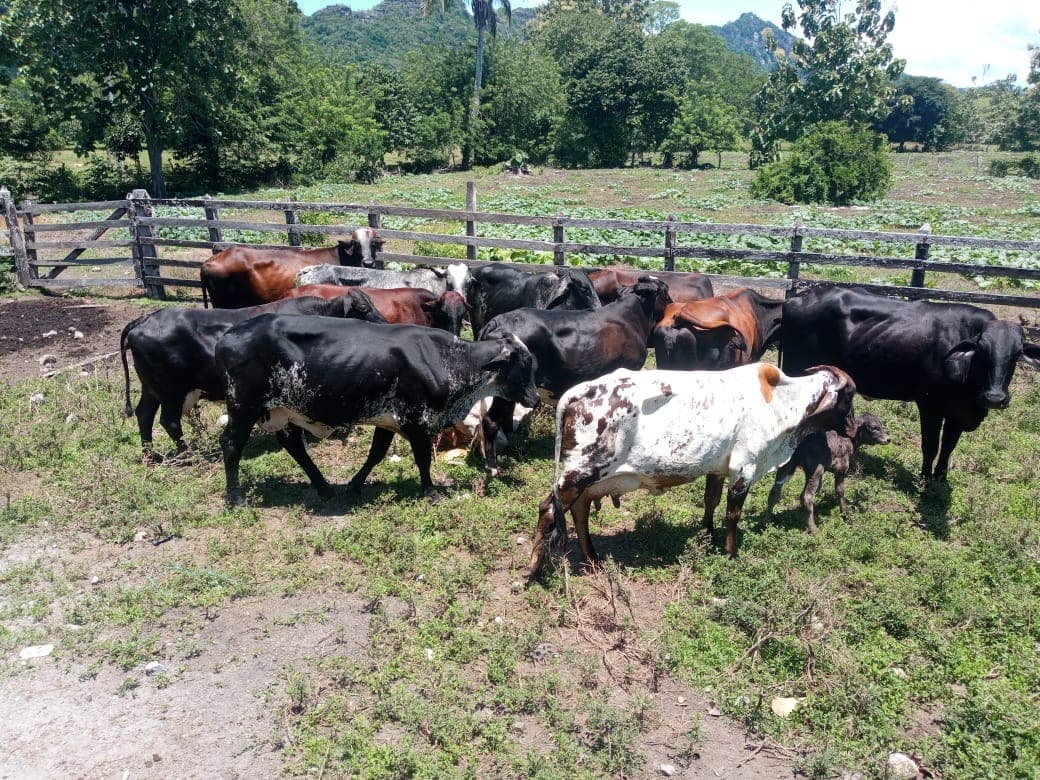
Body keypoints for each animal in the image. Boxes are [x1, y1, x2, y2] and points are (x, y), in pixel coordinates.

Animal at [120, 290, 385, 461]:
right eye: (363, 309)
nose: (385, 323)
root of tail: (144, 319)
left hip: (152, 389)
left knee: (144, 415)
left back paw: (150, 454)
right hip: (171, 391)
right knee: (169, 421)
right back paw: (189, 454)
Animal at [215, 316, 540, 506]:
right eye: (524, 364)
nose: (536, 399)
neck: (449, 360)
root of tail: (230, 334)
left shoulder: (388, 421)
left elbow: (376, 454)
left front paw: (354, 486)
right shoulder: (416, 421)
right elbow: (423, 460)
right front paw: (431, 491)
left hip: (281, 411)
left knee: (293, 444)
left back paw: (323, 487)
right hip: (244, 407)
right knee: (231, 444)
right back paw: (236, 498)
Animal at [476, 277, 671, 475]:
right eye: (666, 292)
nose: (672, 303)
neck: (633, 319)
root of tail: (497, 321)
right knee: (492, 419)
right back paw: (493, 466)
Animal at [528, 363, 857, 575]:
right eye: (850, 395)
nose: (853, 428)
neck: (780, 401)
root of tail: (576, 392)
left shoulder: (718, 468)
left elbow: (710, 501)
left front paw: (707, 536)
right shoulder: (744, 468)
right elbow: (733, 514)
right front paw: (731, 553)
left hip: (587, 479)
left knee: (579, 511)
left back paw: (593, 561)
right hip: (578, 473)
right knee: (549, 509)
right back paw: (534, 568)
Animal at [781, 285, 1040, 481]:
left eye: (1017, 354)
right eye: (982, 351)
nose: (995, 398)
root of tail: (797, 298)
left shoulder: (958, 413)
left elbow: (948, 447)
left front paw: (940, 479)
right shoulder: (930, 406)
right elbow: (931, 445)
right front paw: (925, 479)